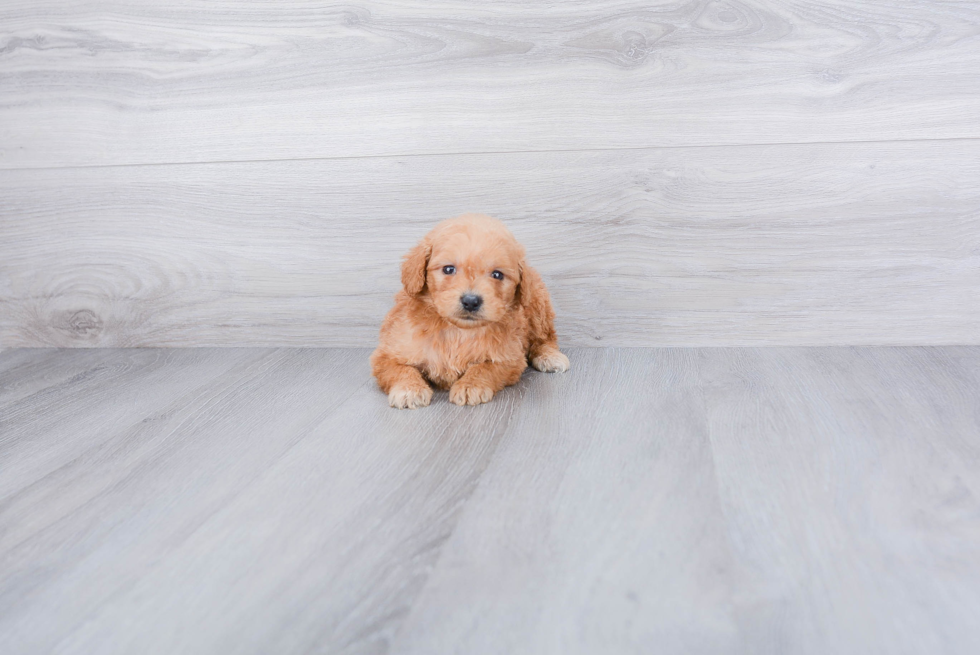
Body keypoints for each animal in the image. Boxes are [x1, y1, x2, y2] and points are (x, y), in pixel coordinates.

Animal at [372, 214, 572, 410]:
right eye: (448, 269)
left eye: (497, 274)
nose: (471, 301)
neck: (458, 331)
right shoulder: (386, 353)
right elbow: (399, 369)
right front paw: (409, 389)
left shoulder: (510, 357)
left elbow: (485, 368)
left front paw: (470, 385)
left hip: (538, 304)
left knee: (545, 337)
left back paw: (550, 357)